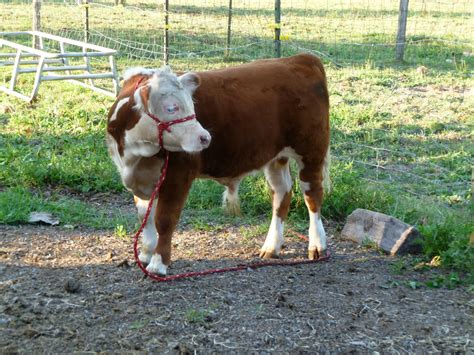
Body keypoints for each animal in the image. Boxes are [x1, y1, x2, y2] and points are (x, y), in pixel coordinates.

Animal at [107, 54, 330, 276]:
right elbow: (145, 216)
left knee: (312, 196)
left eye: (192, 105)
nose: (205, 137)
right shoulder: (140, 178)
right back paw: (271, 246)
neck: (135, 155)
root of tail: (299, 59)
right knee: (282, 193)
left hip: (311, 151)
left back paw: (317, 245)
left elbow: (164, 219)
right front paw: (145, 254)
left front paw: (158, 264)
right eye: (171, 107)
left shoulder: (179, 174)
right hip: (277, 157)